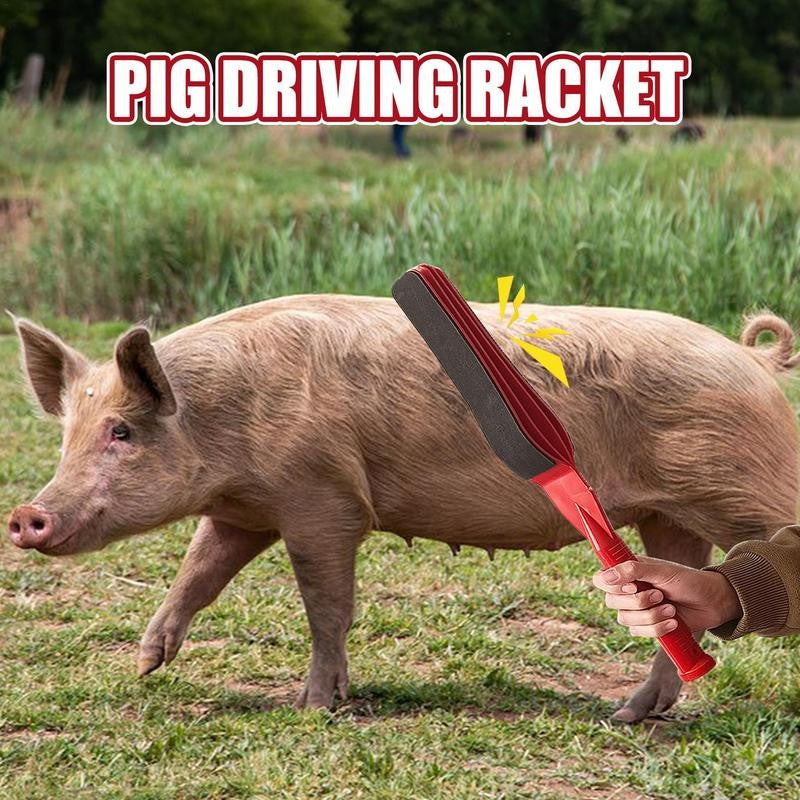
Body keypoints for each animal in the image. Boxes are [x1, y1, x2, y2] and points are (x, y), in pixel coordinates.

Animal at [7, 296, 799, 723]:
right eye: (68, 432)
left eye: (121, 431)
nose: (24, 516)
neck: (222, 420)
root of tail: (755, 361)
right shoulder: (247, 507)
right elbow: (199, 571)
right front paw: (146, 665)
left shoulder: (322, 498)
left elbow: (325, 604)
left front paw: (314, 705)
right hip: (671, 515)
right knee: (680, 587)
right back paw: (631, 714)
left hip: (742, 483)